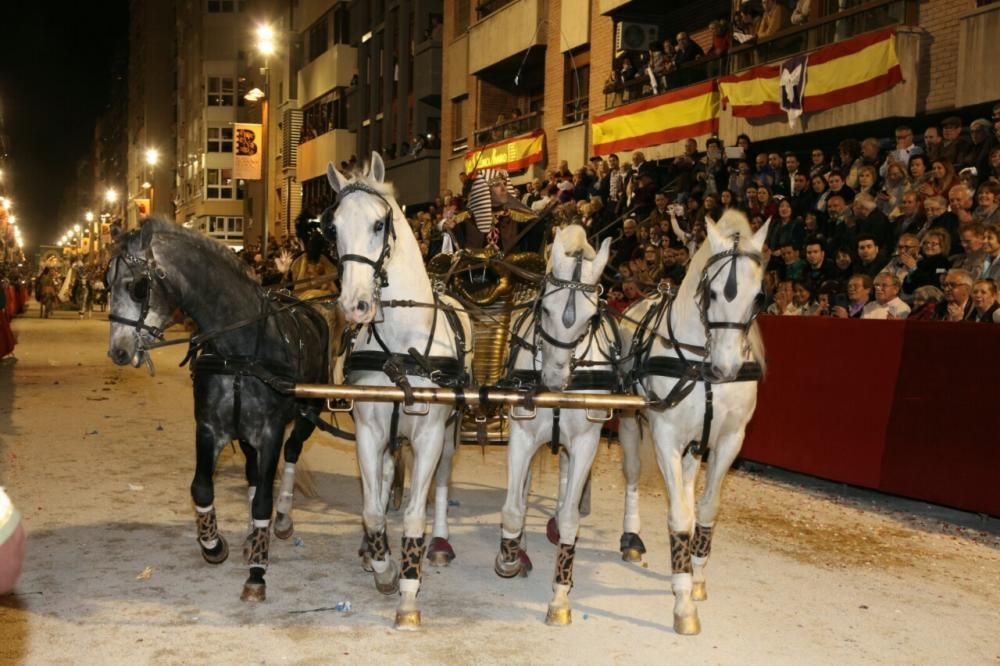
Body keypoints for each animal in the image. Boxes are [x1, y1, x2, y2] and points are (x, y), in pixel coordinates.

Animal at [106, 219, 332, 600]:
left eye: (137, 287)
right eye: (106, 283)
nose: (118, 351)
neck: (239, 353)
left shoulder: (269, 431)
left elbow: (263, 499)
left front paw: (257, 571)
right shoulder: (210, 428)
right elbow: (202, 488)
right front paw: (213, 544)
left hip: (308, 413)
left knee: (291, 452)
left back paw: (281, 519)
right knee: (254, 473)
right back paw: (254, 536)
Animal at [324, 156, 472, 628]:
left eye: (378, 224)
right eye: (333, 228)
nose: (354, 306)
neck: (400, 348)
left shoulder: (429, 436)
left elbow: (413, 515)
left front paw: (408, 592)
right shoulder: (370, 431)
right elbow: (372, 508)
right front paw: (384, 566)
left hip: (449, 435)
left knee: (440, 485)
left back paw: (439, 545)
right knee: (385, 480)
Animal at [490, 226, 612, 624]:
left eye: (591, 318)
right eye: (545, 308)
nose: (555, 380)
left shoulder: (586, 442)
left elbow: (571, 515)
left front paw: (560, 595)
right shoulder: (522, 435)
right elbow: (514, 507)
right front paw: (509, 557)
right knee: (524, 490)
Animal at [616, 209, 764, 632]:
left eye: (759, 296)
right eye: (711, 293)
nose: (726, 369)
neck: (700, 363)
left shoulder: (730, 439)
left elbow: (706, 507)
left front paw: (696, 575)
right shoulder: (665, 434)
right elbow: (679, 513)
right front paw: (683, 602)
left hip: (696, 444)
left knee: (685, 483)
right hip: (631, 421)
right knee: (633, 475)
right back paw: (631, 540)